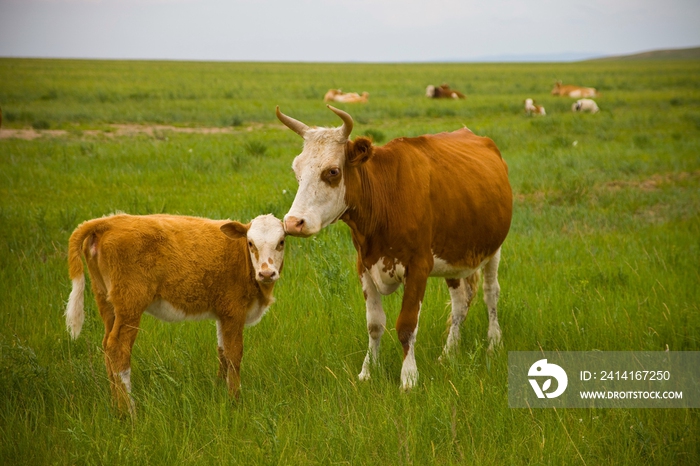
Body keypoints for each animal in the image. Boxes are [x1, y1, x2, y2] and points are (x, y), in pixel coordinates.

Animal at [64, 214, 284, 416]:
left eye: (281, 242)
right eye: (251, 243)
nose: (267, 273)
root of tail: (110, 221)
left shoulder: (223, 313)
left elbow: (222, 351)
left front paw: (219, 390)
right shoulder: (234, 311)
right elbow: (234, 355)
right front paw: (234, 401)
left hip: (105, 300)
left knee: (106, 347)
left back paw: (115, 406)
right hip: (130, 305)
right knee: (118, 349)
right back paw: (130, 412)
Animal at [276, 104, 512, 390]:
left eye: (332, 171)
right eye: (296, 170)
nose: (293, 222)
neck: (386, 199)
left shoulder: (418, 267)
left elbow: (406, 326)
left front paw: (409, 378)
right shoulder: (364, 266)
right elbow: (375, 324)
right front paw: (367, 371)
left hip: (494, 249)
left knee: (491, 293)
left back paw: (493, 343)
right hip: (454, 259)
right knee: (459, 303)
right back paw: (449, 353)